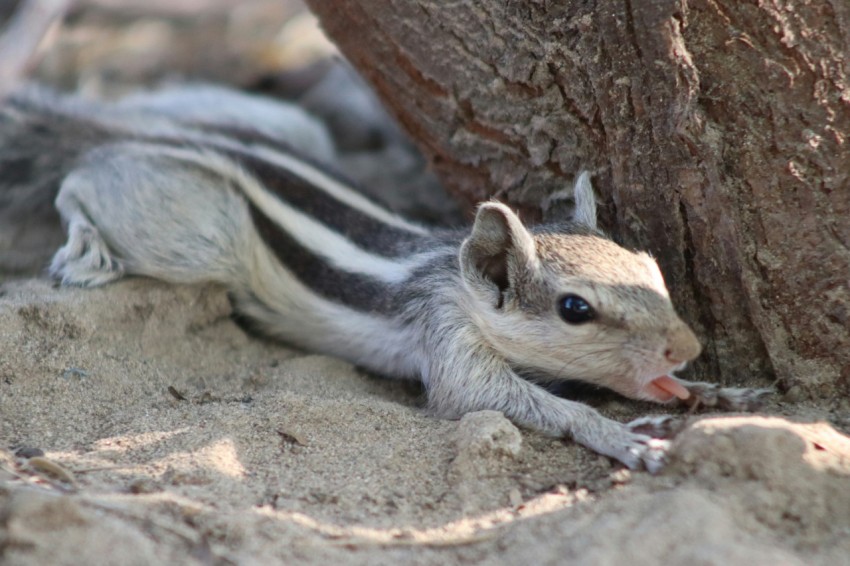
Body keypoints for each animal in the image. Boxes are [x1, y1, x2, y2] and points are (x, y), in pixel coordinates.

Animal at [0, 86, 768, 472]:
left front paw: (714, 391)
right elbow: (493, 398)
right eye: (575, 309)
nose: (687, 347)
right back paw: (85, 248)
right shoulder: (448, 338)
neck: (453, 278)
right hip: (196, 234)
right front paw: (623, 438)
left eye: (652, 268)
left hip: (286, 125)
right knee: (81, 179)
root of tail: (162, 135)